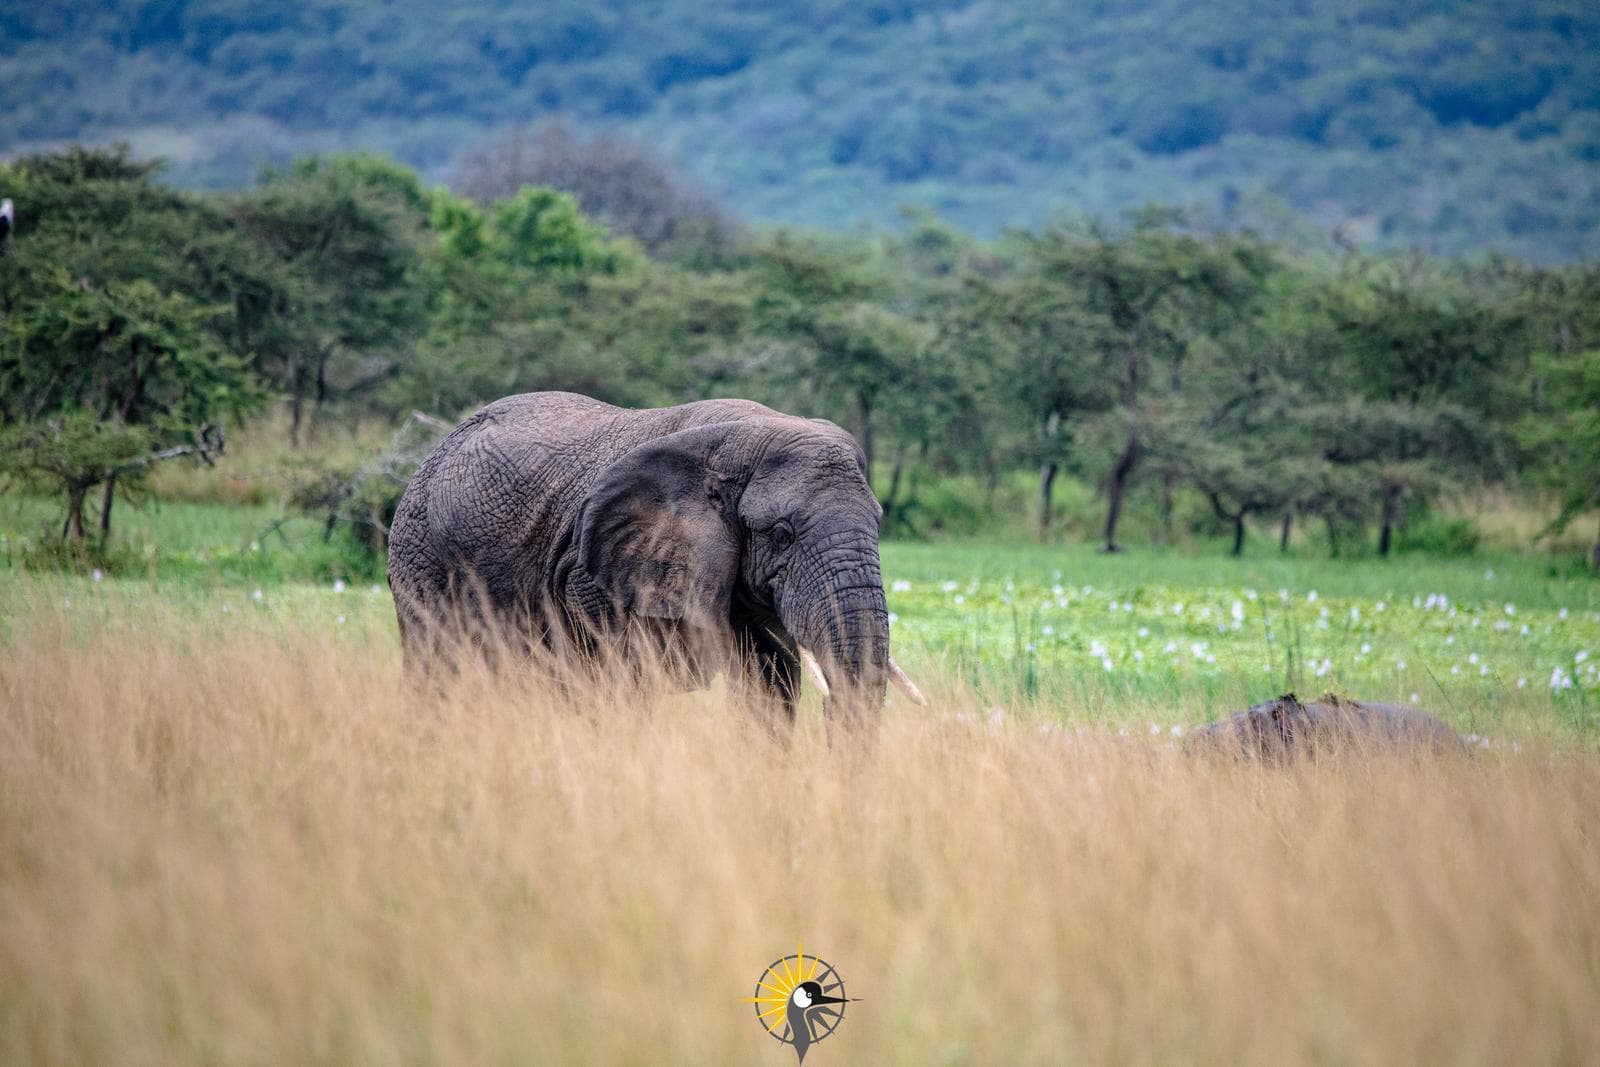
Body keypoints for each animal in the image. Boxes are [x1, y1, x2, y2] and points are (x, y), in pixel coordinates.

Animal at [386, 391, 925, 723]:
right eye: (781, 534)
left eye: (878, 526)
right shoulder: (596, 580)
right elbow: (619, 683)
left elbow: (770, 688)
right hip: (419, 555)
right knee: (439, 667)